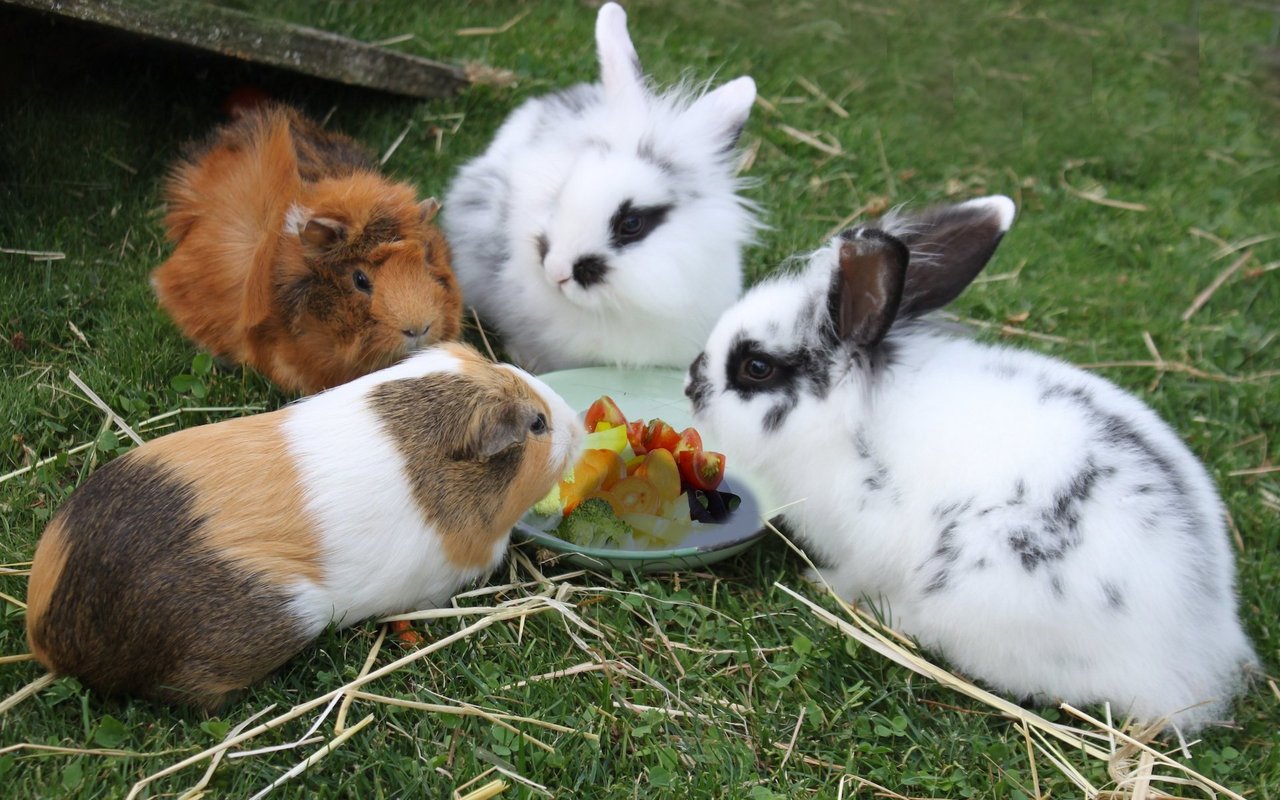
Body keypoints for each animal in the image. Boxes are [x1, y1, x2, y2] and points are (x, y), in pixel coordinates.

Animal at [686, 194, 1254, 732]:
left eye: (756, 367)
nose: (691, 384)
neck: (847, 419)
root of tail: (1193, 652)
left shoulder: (864, 543)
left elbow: (851, 572)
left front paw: (819, 583)